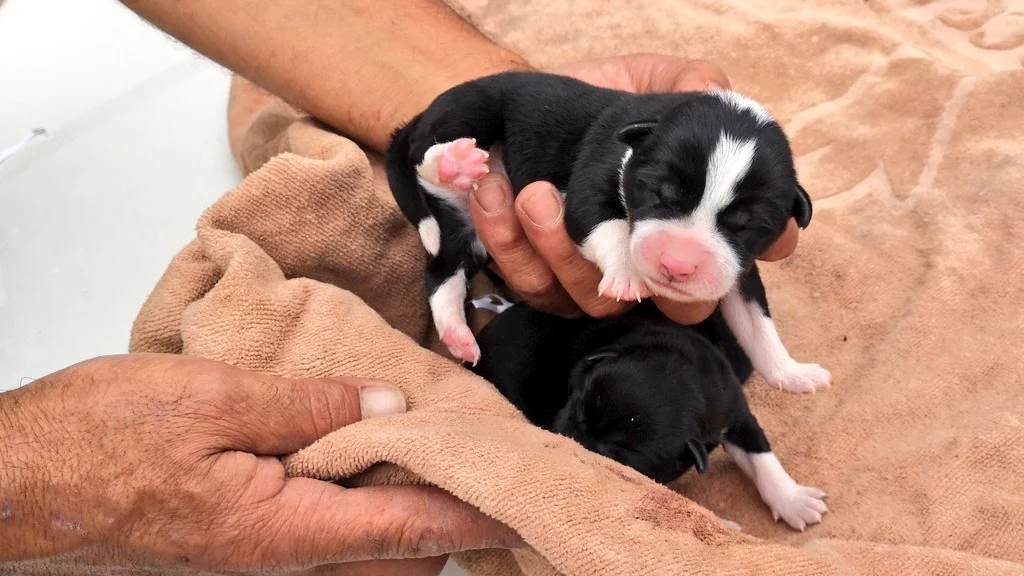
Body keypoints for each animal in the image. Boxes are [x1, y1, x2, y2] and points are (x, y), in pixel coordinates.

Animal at [387, 68, 827, 393]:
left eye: (747, 224)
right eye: (657, 192)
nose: (678, 265)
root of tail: (421, 115)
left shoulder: (739, 267)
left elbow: (757, 322)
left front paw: (792, 372)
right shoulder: (593, 177)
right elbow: (608, 224)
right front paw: (627, 276)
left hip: (467, 229)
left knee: (444, 271)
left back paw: (458, 333)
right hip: (472, 110)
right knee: (424, 151)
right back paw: (452, 163)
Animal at [473, 276, 831, 528]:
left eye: (614, 455)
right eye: (576, 405)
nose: (566, 439)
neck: (683, 375)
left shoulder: (735, 413)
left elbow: (762, 456)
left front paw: (793, 500)